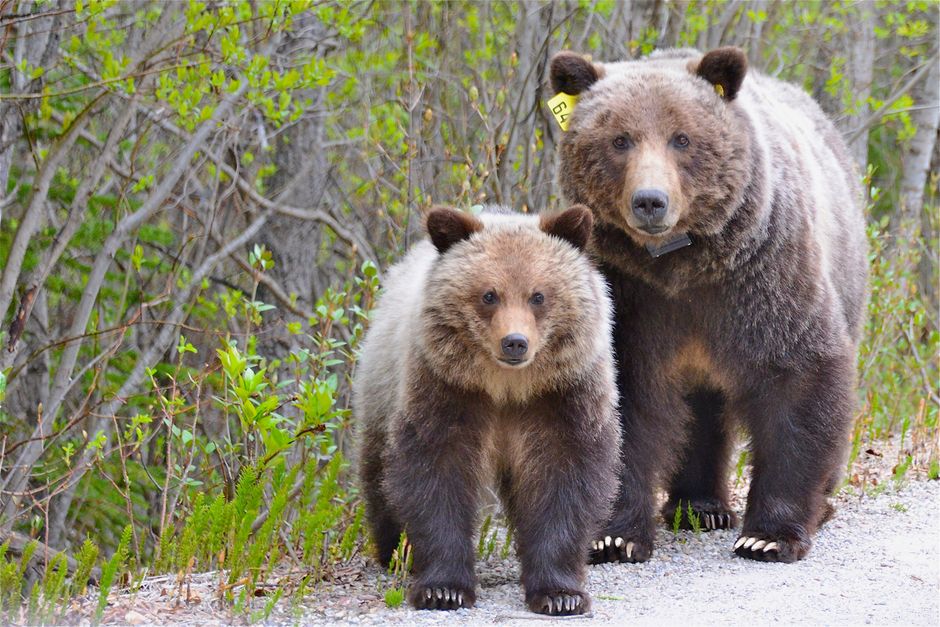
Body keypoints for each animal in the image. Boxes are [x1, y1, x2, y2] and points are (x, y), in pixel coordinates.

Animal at [354, 205, 621, 615]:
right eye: (489, 295)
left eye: (538, 296)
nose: (515, 342)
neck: (506, 386)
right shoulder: (448, 389)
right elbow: (436, 472)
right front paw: (443, 589)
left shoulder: (561, 395)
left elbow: (563, 475)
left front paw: (560, 594)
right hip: (382, 388)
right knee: (379, 474)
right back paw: (395, 550)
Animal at [548, 46, 868, 564]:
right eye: (620, 140)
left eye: (682, 138)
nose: (650, 201)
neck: (683, 266)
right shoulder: (630, 295)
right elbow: (624, 397)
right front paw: (613, 536)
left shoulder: (763, 276)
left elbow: (800, 376)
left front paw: (767, 536)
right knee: (700, 409)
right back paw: (698, 506)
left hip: (845, 272)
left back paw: (817, 505)